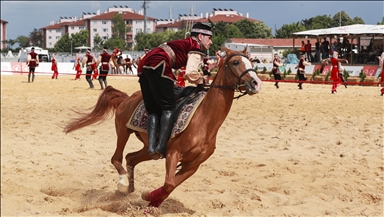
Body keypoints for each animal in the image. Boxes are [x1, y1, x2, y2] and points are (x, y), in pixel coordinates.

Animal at [63, 45, 262, 209]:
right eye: (235, 62)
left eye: (251, 61)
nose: (256, 83)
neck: (205, 121)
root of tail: (126, 98)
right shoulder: (174, 154)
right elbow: (169, 184)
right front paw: (148, 196)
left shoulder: (193, 165)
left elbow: (171, 186)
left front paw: (152, 203)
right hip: (123, 131)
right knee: (117, 158)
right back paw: (123, 183)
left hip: (149, 148)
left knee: (130, 158)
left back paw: (129, 189)